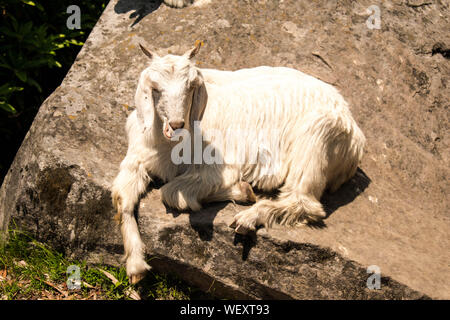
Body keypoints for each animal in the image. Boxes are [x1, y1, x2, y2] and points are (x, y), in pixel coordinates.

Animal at [111, 43, 366, 282]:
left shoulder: (215, 168)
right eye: (155, 88)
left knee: (305, 201)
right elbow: (122, 198)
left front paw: (241, 191)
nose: (176, 125)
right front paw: (135, 266)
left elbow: (171, 193)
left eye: (191, 87)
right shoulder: (136, 159)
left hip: (316, 139)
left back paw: (248, 217)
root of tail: (356, 136)